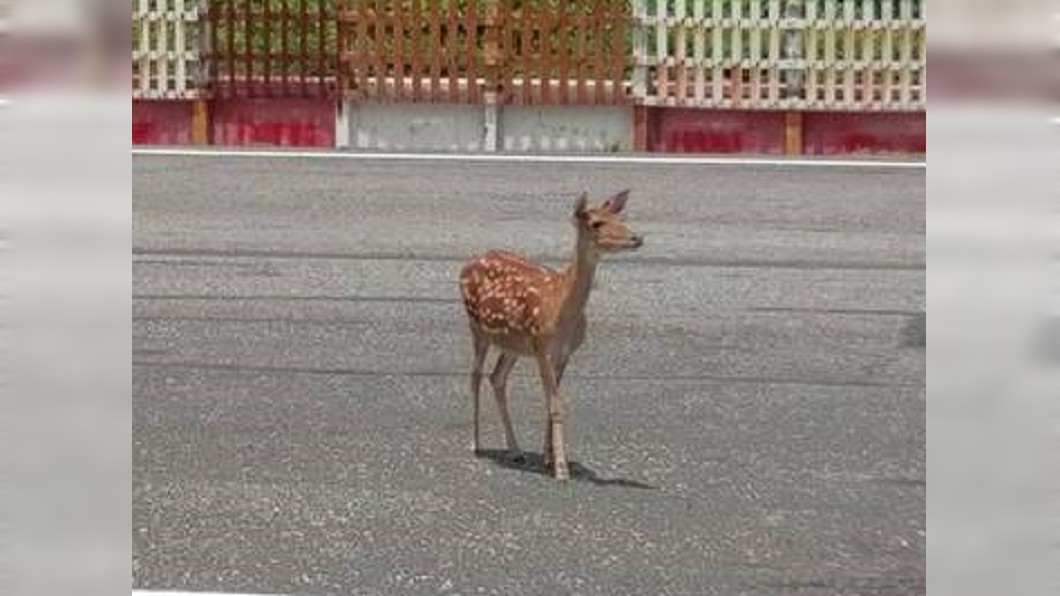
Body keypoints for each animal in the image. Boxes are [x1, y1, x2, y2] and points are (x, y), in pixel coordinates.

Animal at [458, 189, 643, 480]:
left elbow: (549, 403)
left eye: (621, 218)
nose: (637, 238)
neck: (561, 307)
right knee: (475, 375)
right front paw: (561, 469)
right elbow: (556, 405)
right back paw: (476, 444)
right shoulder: (543, 348)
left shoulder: (562, 352)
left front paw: (547, 458)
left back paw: (515, 450)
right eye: (596, 223)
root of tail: (466, 265)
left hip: (513, 343)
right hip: (478, 327)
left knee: (496, 377)